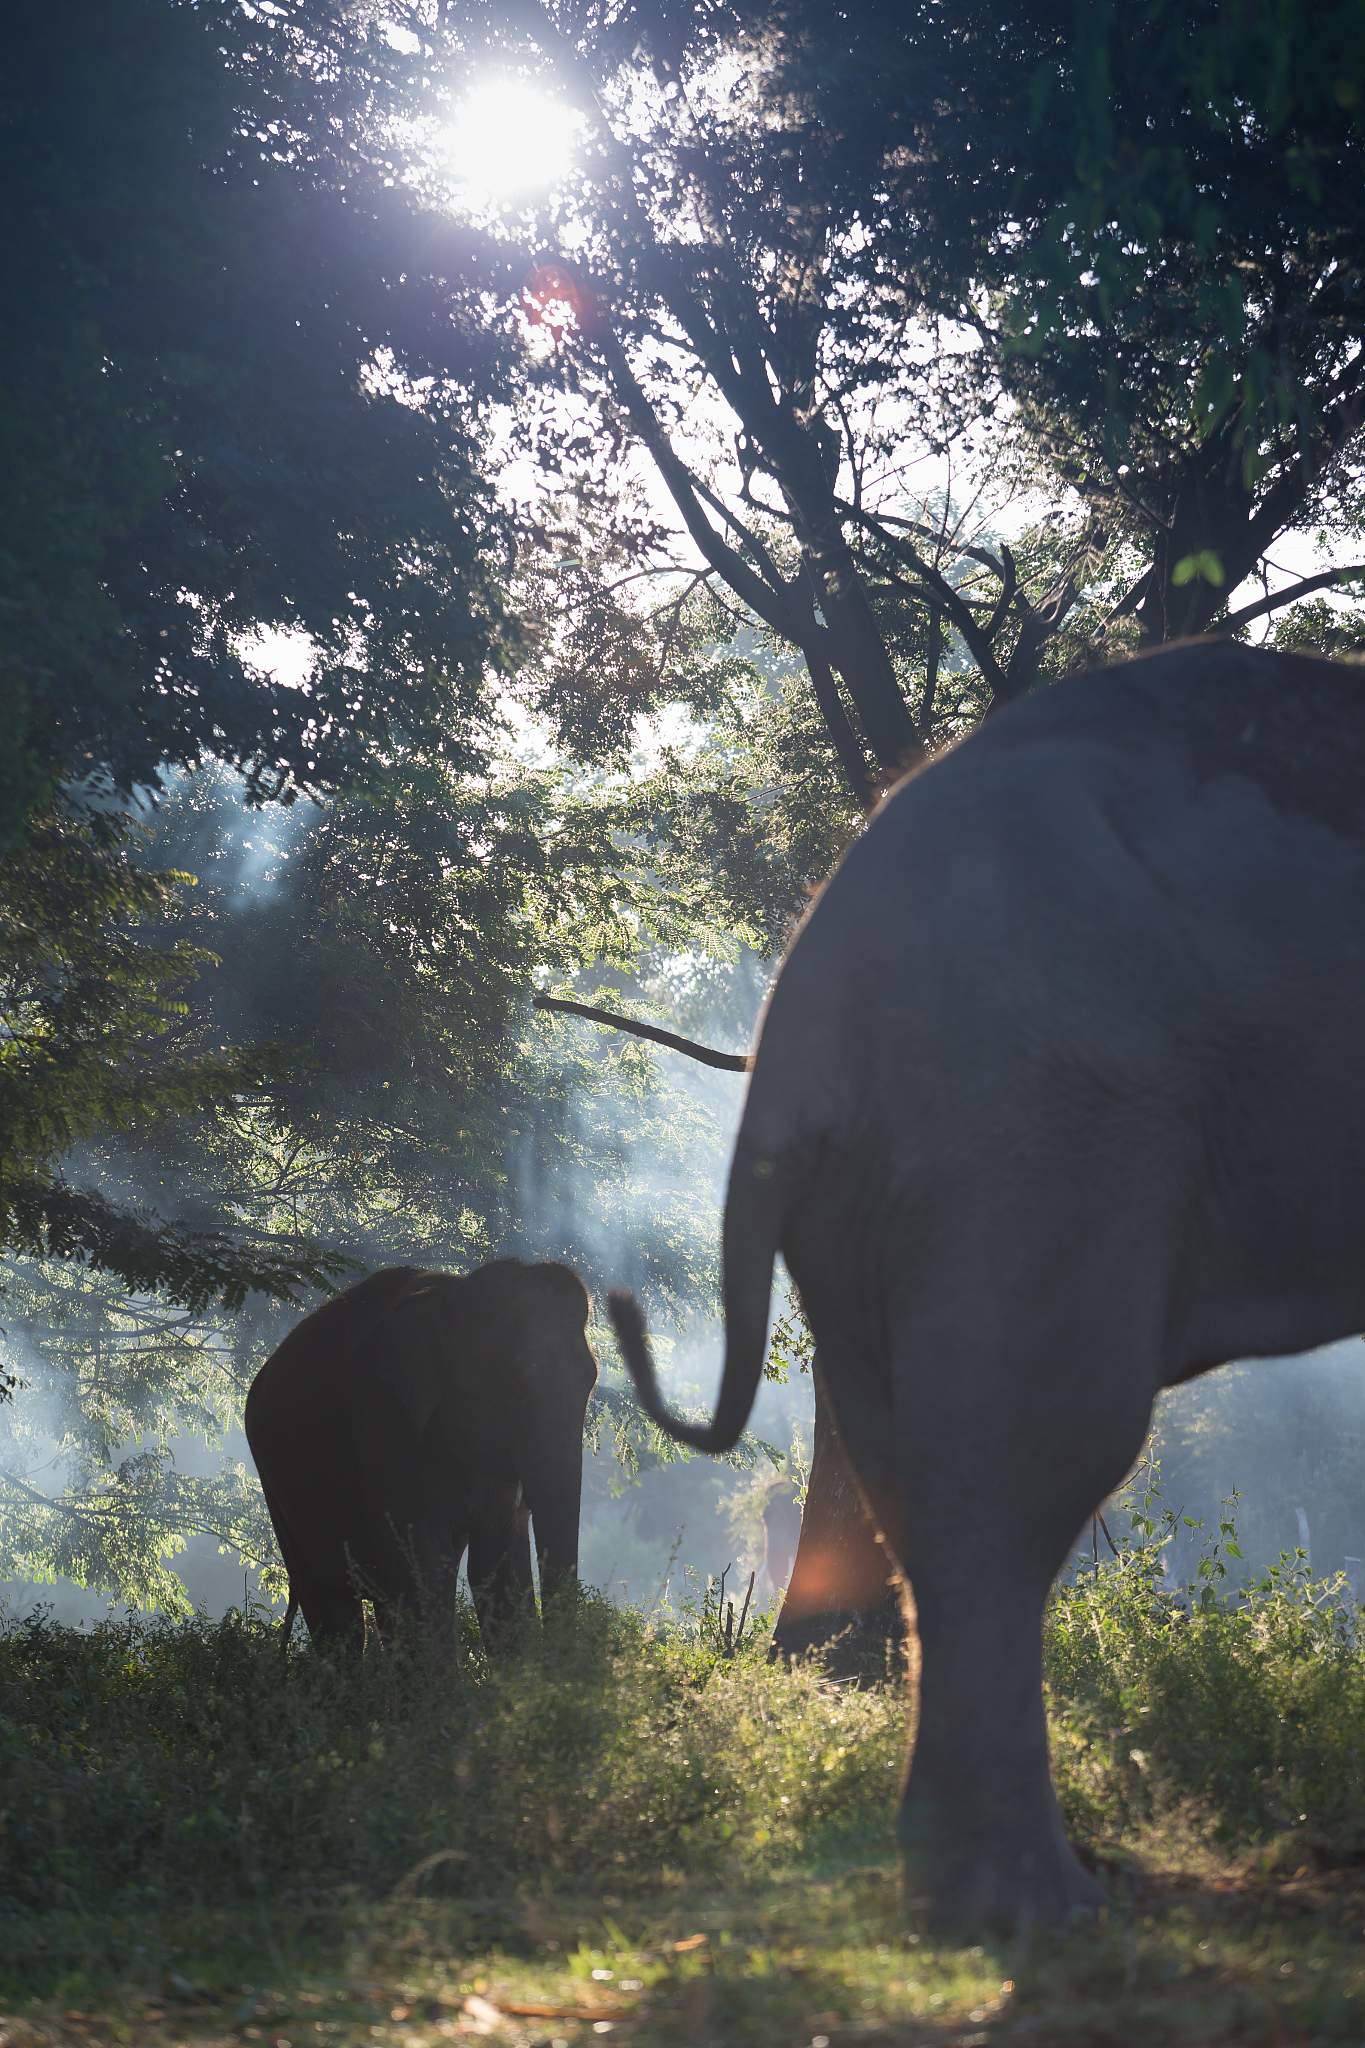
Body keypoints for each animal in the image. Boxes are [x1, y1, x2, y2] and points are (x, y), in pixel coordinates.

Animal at [245, 1259, 598, 1652]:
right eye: (508, 1391)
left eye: (591, 1382)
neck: (455, 1295)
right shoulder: (381, 1417)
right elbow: (420, 1561)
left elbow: (497, 1562)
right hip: (276, 1485)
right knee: (333, 1609)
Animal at [610, 639, 1365, 1929]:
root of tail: (796, 1029)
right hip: (1038, 1130)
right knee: (1025, 1464)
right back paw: (1041, 1908)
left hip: (892, 1194)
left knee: (913, 1469)